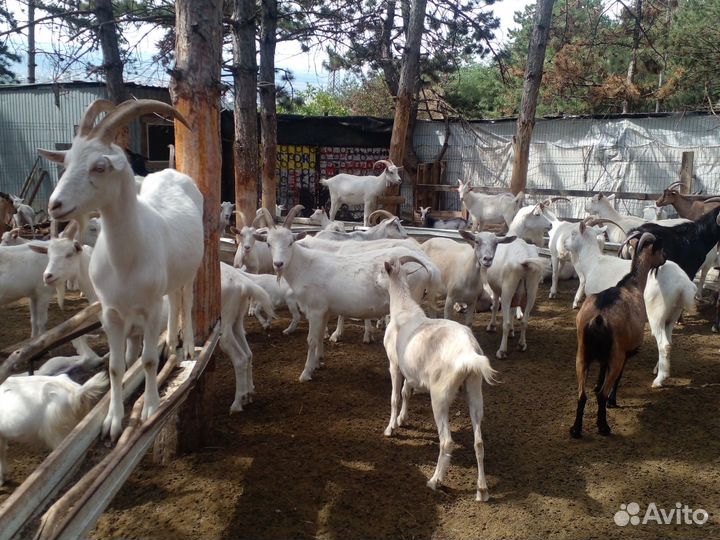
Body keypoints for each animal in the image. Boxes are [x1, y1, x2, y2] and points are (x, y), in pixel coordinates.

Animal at [39, 99, 204, 442]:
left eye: (99, 167)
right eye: (67, 161)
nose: (55, 205)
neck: (124, 260)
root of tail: (172, 172)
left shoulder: (150, 307)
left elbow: (148, 359)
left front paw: (152, 407)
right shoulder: (111, 312)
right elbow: (116, 366)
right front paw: (111, 422)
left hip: (191, 269)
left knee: (185, 301)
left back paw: (187, 347)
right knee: (174, 304)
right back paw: (173, 343)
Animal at [254, 205, 440, 382]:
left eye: (290, 243)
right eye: (269, 243)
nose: (278, 264)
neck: (305, 266)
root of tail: (427, 265)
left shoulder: (315, 309)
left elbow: (311, 340)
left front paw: (306, 373)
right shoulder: (324, 310)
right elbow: (320, 336)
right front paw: (318, 361)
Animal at [381, 255, 497, 501]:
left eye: (381, 271)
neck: (404, 309)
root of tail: (468, 352)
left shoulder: (394, 364)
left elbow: (395, 397)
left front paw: (390, 428)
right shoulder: (410, 371)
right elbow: (406, 392)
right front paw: (402, 419)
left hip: (440, 395)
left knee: (447, 441)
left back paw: (435, 480)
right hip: (474, 390)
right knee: (479, 442)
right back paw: (482, 490)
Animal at [570, 233, 665, 438]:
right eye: (660, 250)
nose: (665, 258)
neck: (632, 284)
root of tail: (599, 318)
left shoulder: (604, 356)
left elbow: (601, 370)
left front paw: (596, 385)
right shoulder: (626, 352)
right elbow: (618, 378)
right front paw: (613, 401)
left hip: (582, 353)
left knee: (582, 394)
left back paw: (575, 429)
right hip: (617, 354)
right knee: (601, 394)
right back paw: (603, 427)